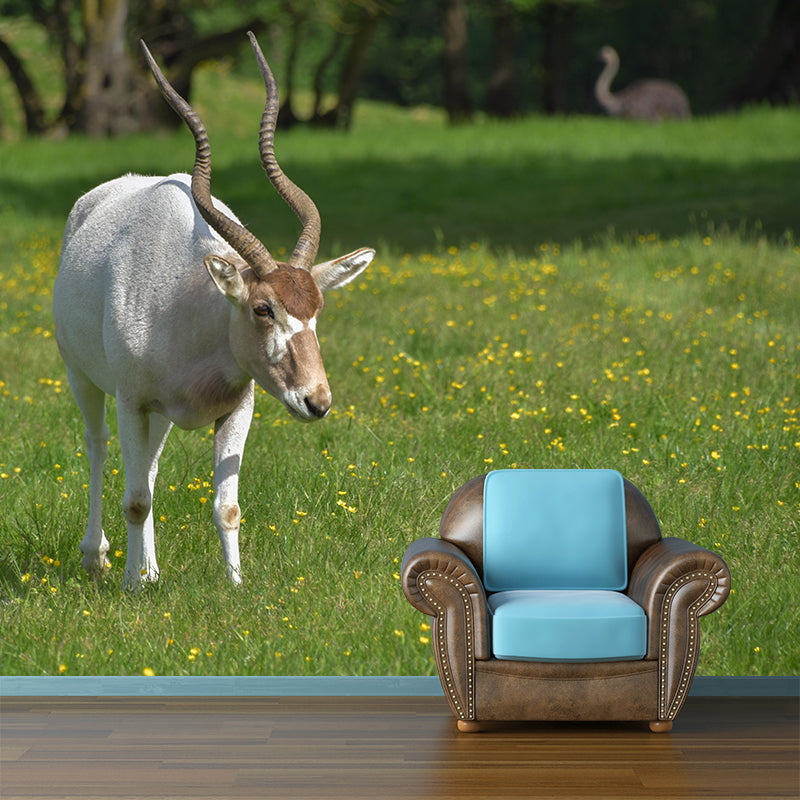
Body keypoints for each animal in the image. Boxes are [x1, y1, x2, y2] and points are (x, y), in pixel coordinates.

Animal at [52, 33, 374, 587]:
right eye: (263, 308)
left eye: (317, 309)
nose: (317, 402)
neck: (188, 308)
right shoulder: (130, 401)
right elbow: (134, 499)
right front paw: (130, 586)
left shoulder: (237, 408)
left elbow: (226, 506)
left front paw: (235, 585)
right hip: (85, 379)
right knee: (98, 446)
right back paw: (99, 557)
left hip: (157, 414)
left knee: (150, 466)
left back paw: (151, 568)